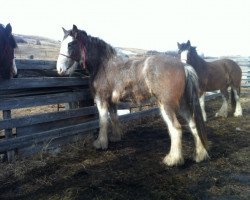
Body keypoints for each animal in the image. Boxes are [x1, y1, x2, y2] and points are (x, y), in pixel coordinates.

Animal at [56, 24, 209, 166]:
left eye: (70, 44)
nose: (60, 69)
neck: (103, 64)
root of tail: (183, 66)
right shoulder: (112, 101)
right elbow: (114, 118)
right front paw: (116, 137)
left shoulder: (101, 99)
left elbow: (103, 121)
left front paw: (101, 143)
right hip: (183, 104)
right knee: (193, 124)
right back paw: (199, 155)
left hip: (167, 105)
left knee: (176, 128)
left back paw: (173, 159)